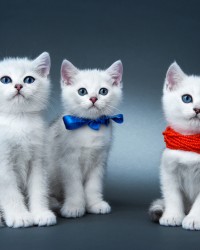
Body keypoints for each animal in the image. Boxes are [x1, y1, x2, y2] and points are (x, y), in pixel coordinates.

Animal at [0, 51, 56, 228]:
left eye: (29, 80)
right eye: (5, 79)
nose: (18, 86)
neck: (19, 120)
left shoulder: (38, 160)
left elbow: (39, 188)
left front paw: (41, 213)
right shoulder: (3, 166)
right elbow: (10, 192)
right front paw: (20, 216)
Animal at [48, 59, 123, 218]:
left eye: (103, 91)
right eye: (82, 91)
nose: (93, 98)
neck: (90, 125)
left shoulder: (99, 162)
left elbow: (94, 185)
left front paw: (95, 204)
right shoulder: (68, 162)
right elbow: (74, 186)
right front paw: (74, 207)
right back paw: (53, 202)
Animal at [149, 62, 200, 230]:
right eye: (187, 98)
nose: (197, 109)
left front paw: (194, 219)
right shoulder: (168, 169)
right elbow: (172, 195)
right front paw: (172, 216)